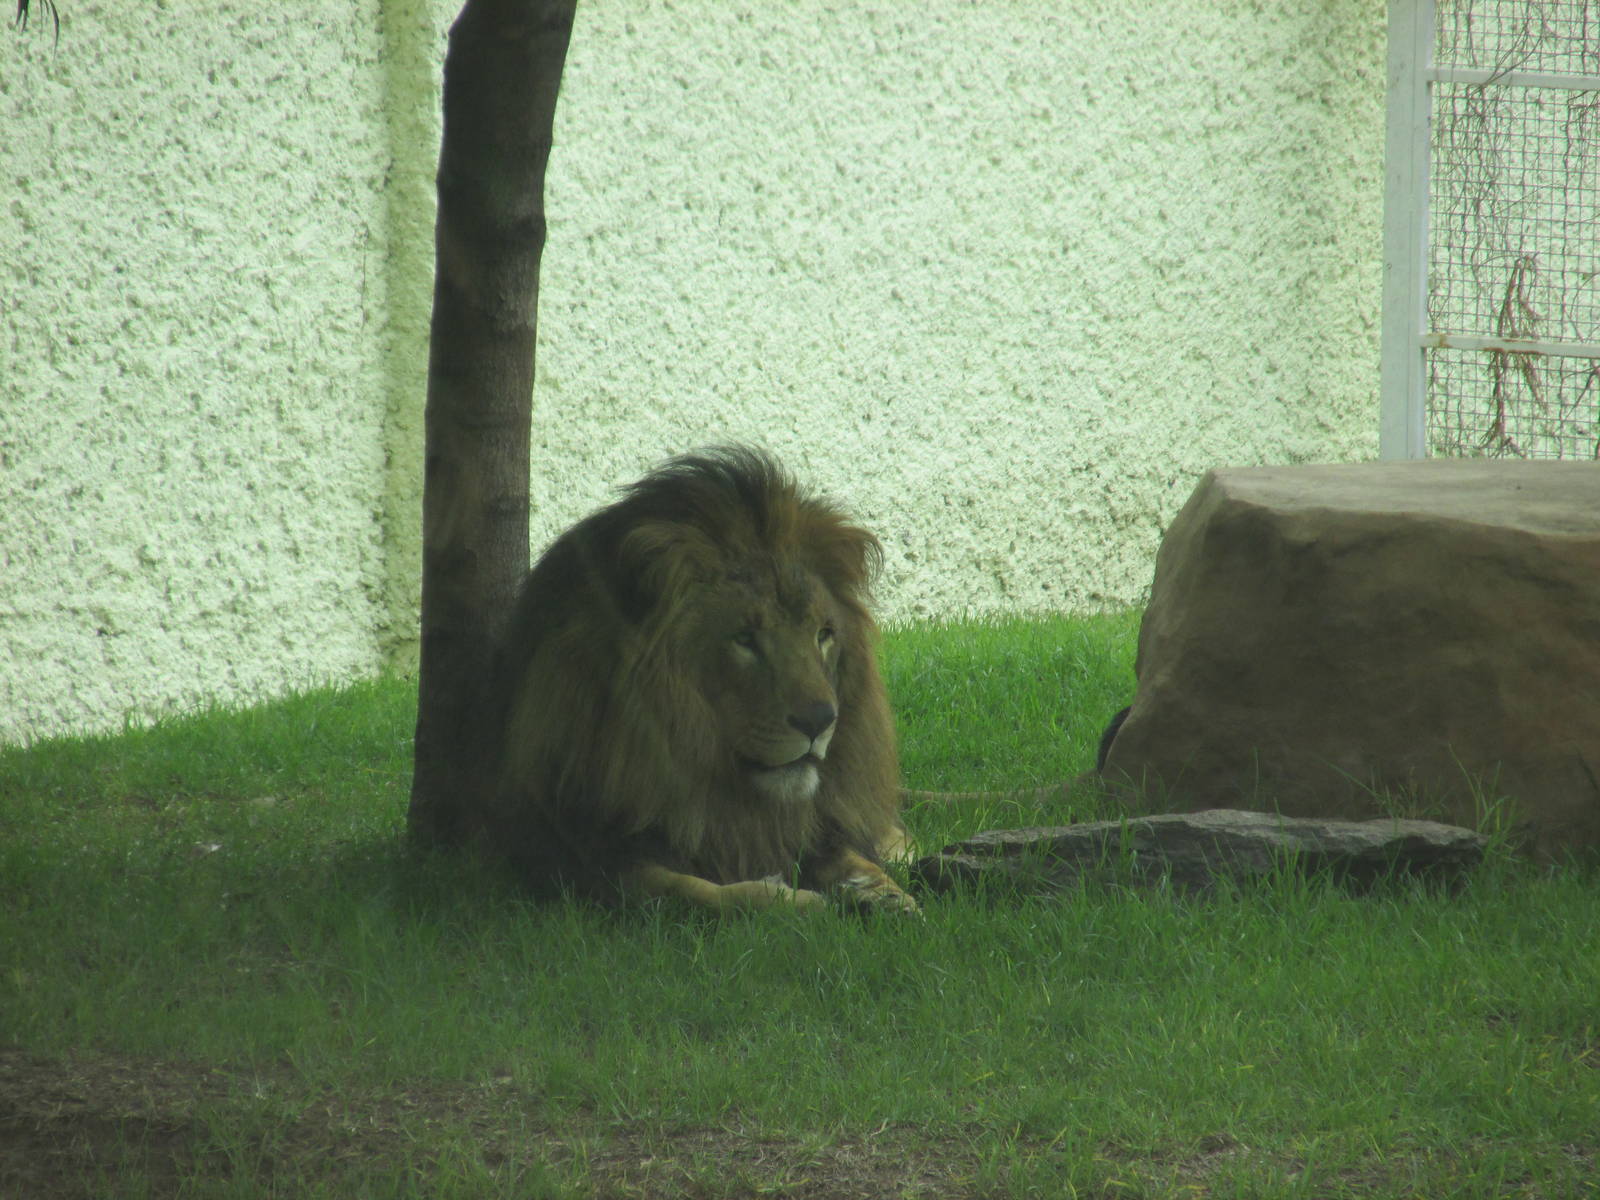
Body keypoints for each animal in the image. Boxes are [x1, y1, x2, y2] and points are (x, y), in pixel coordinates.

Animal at [483, 446, 919, 915]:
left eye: (823, 634)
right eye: (744, 639)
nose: (820, 721)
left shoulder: (812, 827)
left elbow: (848, 853)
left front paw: (881, 892)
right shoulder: (576, 855)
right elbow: (693, 891)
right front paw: (797, 901)